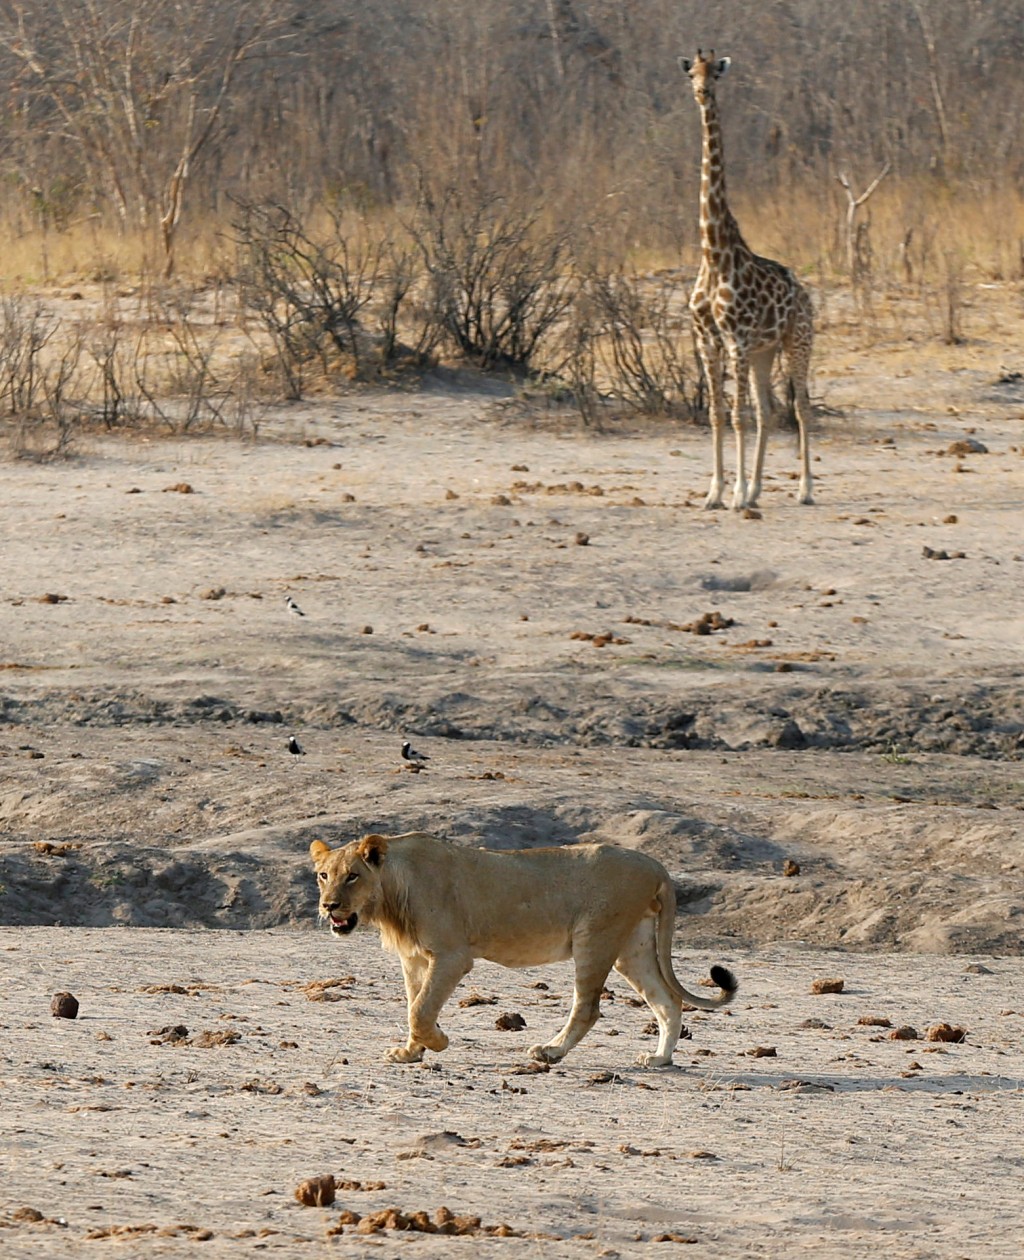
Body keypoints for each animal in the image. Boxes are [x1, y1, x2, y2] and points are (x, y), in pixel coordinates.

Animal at [306, 831, 735, 1068]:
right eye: (324, 875)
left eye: (353, 876)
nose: (329, 906)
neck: (391, 893)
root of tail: (655, 864)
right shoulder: (413, 958)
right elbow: (415, 1004)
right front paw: (412, 1053)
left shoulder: (452, 956)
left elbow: (421, 1010)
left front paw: (438, 1042)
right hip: (634, 946)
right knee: (667, 1000)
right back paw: (660, 1058)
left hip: (596, 937)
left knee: (588, 1007)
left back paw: (551, 1052)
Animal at [680, 51, 816, 506]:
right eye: (691, 72)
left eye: (716, 73)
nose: (702, 92)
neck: (713, 250)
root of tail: (806, 294)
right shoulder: (708, 338)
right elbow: (717, 413)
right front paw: (715, 493)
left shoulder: (735, 338)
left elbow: (737, 415)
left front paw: (734, 493)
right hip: (764, 351)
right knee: (768, 410)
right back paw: (757, 490)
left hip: (797, 341)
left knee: (800, 406)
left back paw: (804, 490)